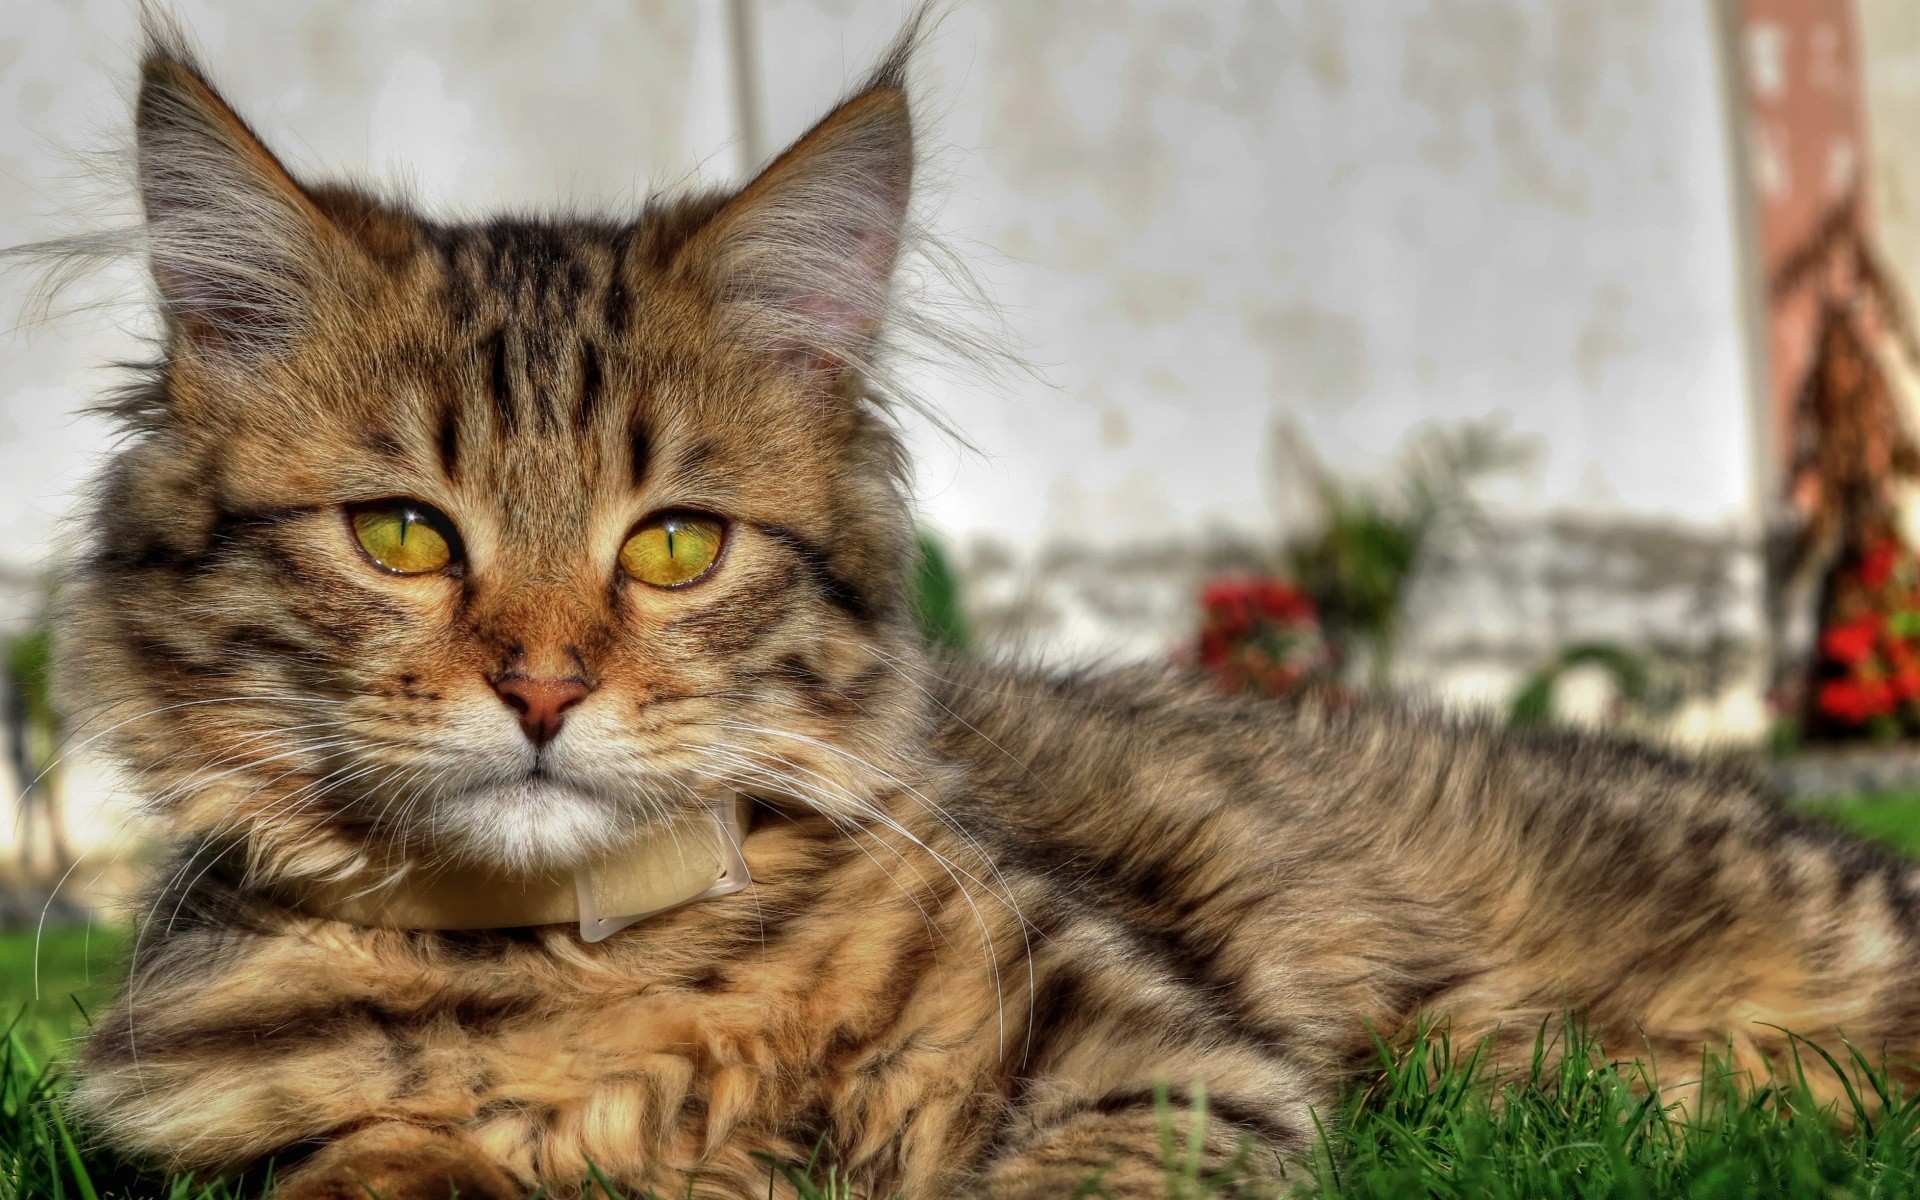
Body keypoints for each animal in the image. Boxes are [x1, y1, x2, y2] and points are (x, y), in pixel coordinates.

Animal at [41, 11, 1920, 1198]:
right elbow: (394, 1157)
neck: (576, 972)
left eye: (674, 547)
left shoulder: (1165, 1067)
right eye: (404, 536)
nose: (545, 692)